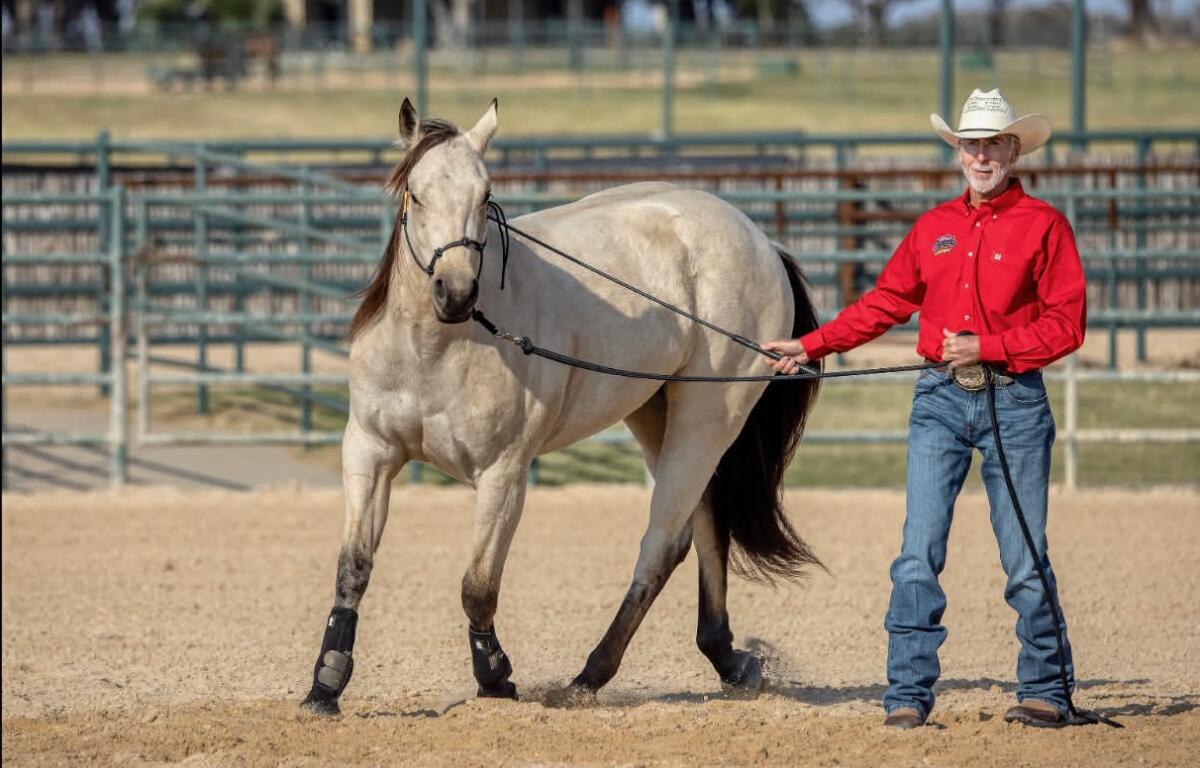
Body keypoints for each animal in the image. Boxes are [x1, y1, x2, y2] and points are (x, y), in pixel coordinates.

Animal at [302, 98, 823, 715]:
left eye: (485, 195)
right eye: (416, 193)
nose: (456, 293)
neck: (433, 350)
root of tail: (760, 241)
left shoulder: (503, 474)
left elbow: (478, 585)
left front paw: (495, 679)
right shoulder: (370, 452)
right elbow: (353, 568)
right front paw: (325, 686)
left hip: (708, 418)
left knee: (662, 542)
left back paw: (589, 678)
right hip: (656, 412)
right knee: (702, 525)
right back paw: (727, 660)